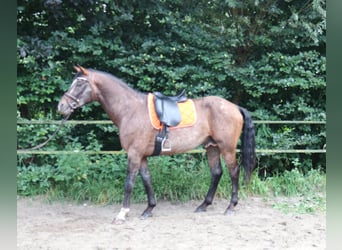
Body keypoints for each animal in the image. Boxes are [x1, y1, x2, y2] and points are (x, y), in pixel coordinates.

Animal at [57, 65, 255, 225]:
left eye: (79, 84)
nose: (61, 106)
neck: (130, 110)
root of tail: (234, 107)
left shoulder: (134, 154)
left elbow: (129, 183)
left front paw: (122, 214)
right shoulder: (142, 156)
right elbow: (146, 180)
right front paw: (149, 209)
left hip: (227, 148)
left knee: (233, 172)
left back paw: (230, 207)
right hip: (212, 147)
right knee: (216, 173)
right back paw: (203, 205)